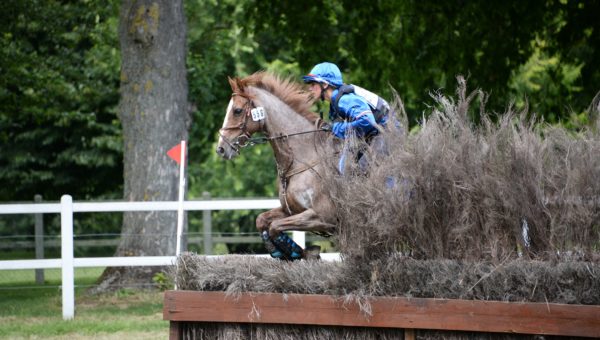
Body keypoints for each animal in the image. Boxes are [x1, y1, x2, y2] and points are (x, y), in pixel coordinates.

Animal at [216, 71, 338, 258]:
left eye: (237, 111)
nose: (221, 149)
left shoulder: (322, 216)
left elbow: (274, 227)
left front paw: (296, 252)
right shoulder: (290, 211)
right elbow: (262, 221)